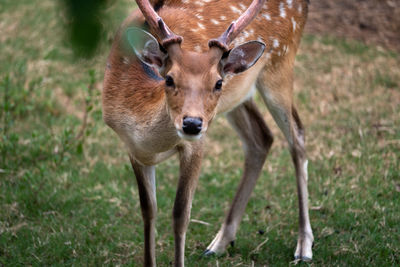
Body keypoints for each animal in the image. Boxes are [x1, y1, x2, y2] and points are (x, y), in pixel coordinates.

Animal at [102, 0, 312, 266]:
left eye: (218, 82)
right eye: (169, 79)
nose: (192, 124)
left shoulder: (196, 146)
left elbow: (180, 214)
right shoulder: (134, 150)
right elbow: (148, 210)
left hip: (280, 67)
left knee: (298, 136)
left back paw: (304, 246)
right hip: (237, 98)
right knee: (262, 137)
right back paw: (219, 243)